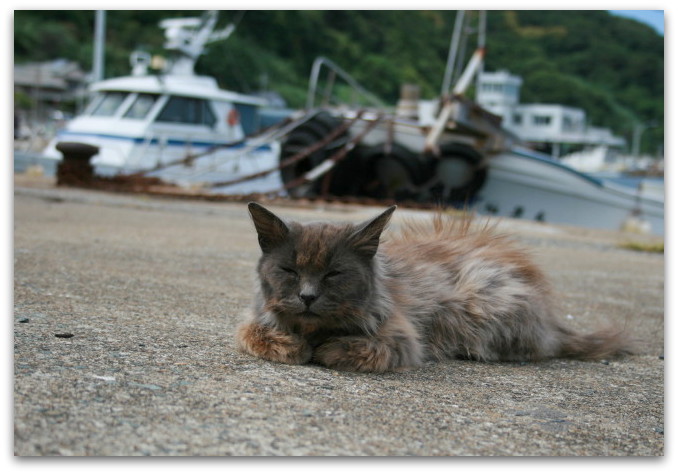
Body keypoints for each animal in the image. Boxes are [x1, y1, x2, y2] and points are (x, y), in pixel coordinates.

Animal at [236, 202, 636, 372]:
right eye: (289, 270)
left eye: (334, 274)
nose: (307, 296)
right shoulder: (255, 317)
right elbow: (253, 333)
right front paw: (293, 346)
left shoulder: (402, 339)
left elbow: (348, 349)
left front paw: (322, 348)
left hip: (480, 301)